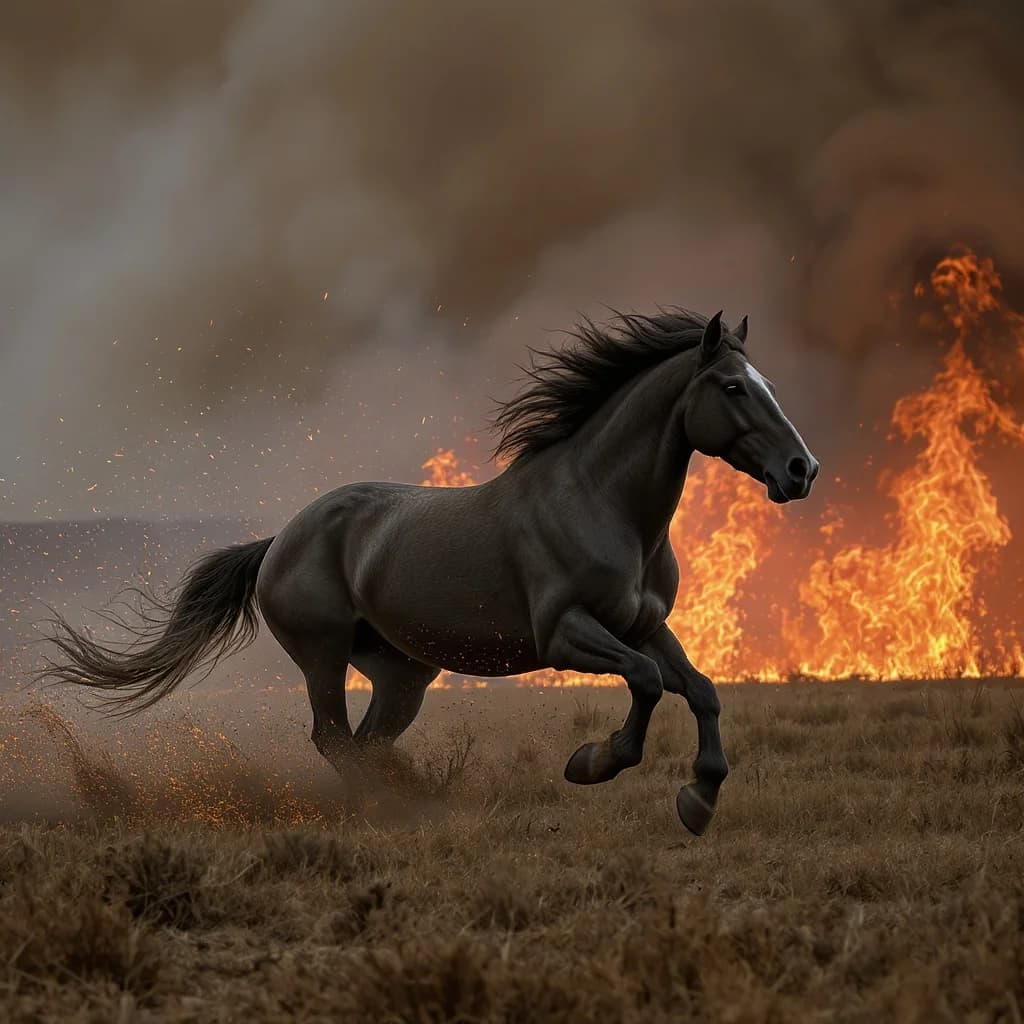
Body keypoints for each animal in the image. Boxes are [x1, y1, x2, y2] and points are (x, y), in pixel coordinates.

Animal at [41, 309, 819, 835]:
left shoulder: (645, 625)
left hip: (402, 673)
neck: (604, 505)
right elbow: (650, 682)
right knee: (332, 738)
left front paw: (700, 798)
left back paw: (403, 799)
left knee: (363, 742)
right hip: (322, 653)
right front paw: (593, 762)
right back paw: (392, 809)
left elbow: (701, 690)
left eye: (771, 385)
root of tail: (281, 538)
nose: (800, 470)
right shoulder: (566, 634)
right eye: (733, 388)